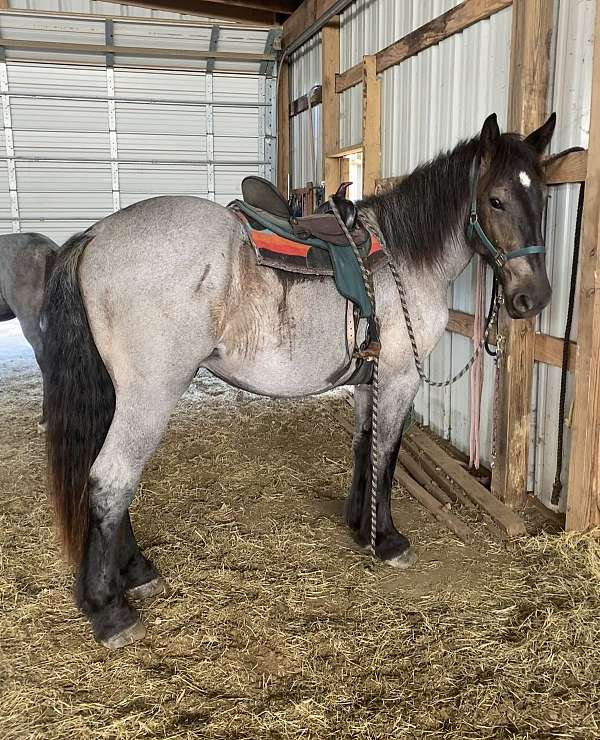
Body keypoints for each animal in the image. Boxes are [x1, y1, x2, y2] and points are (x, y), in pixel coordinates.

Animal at [42, 111, 556, 648]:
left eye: (543, 196)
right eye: (495, 199)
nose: (534, 298)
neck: (405, 255)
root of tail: (96, 235)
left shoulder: (368, 379)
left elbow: (364, 444)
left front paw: (360, 526)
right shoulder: (398, 378)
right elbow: (388, 453)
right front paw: (389, 540)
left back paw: (136, 573)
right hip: (149, 397)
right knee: (112, 480)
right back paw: (110, 610)